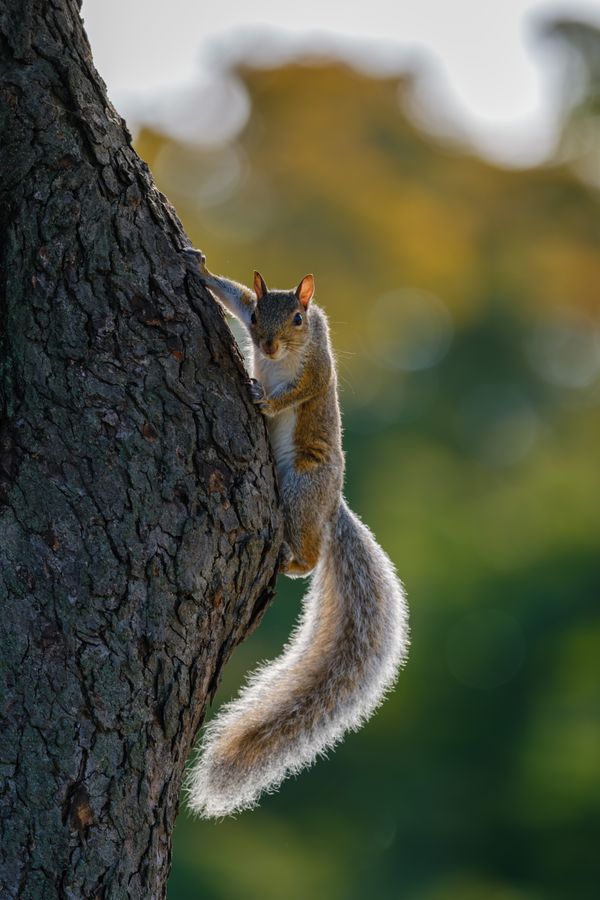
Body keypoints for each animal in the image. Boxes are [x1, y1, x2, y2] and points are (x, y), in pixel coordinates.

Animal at [186, 252, 409, 819]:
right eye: (258, 315)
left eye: (297, 319)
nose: (264, 348)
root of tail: (331, 507)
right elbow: (233, 293)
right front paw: (201, 267)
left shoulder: (318, 367)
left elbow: (304, 389)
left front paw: (266, 402)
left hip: (299, 486)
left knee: (309, 554)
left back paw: (291, 560)